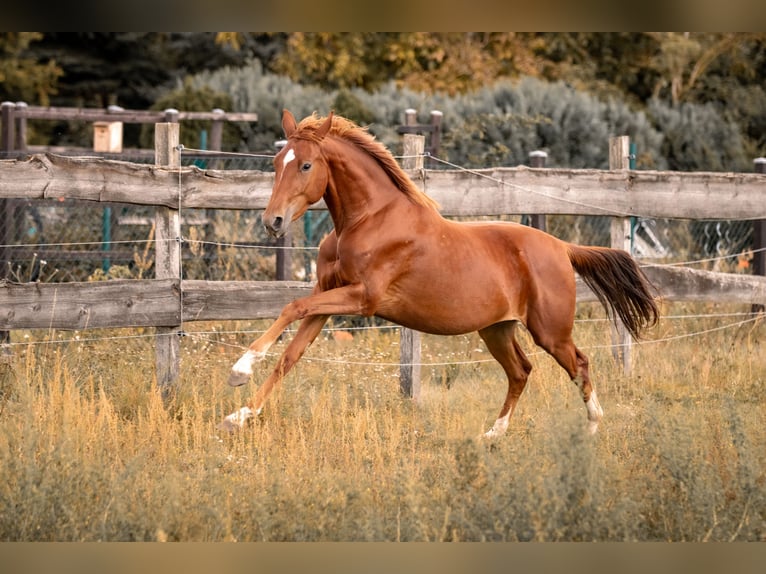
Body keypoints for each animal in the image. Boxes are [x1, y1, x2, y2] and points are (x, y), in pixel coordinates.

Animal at [220, 111, 660, 436]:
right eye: (276, 164)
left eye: (307, 164)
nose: (273, 222)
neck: (367, 220)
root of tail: (562, 248)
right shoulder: (328, 296)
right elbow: (290, 354)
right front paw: (240, 415)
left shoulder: (362, 298)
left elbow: (292, 307)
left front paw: (238, 372)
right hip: (497, 329)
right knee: (521, 372)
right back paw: (493, 435)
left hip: (550, 331)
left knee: (579, 365)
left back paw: (591, 429)